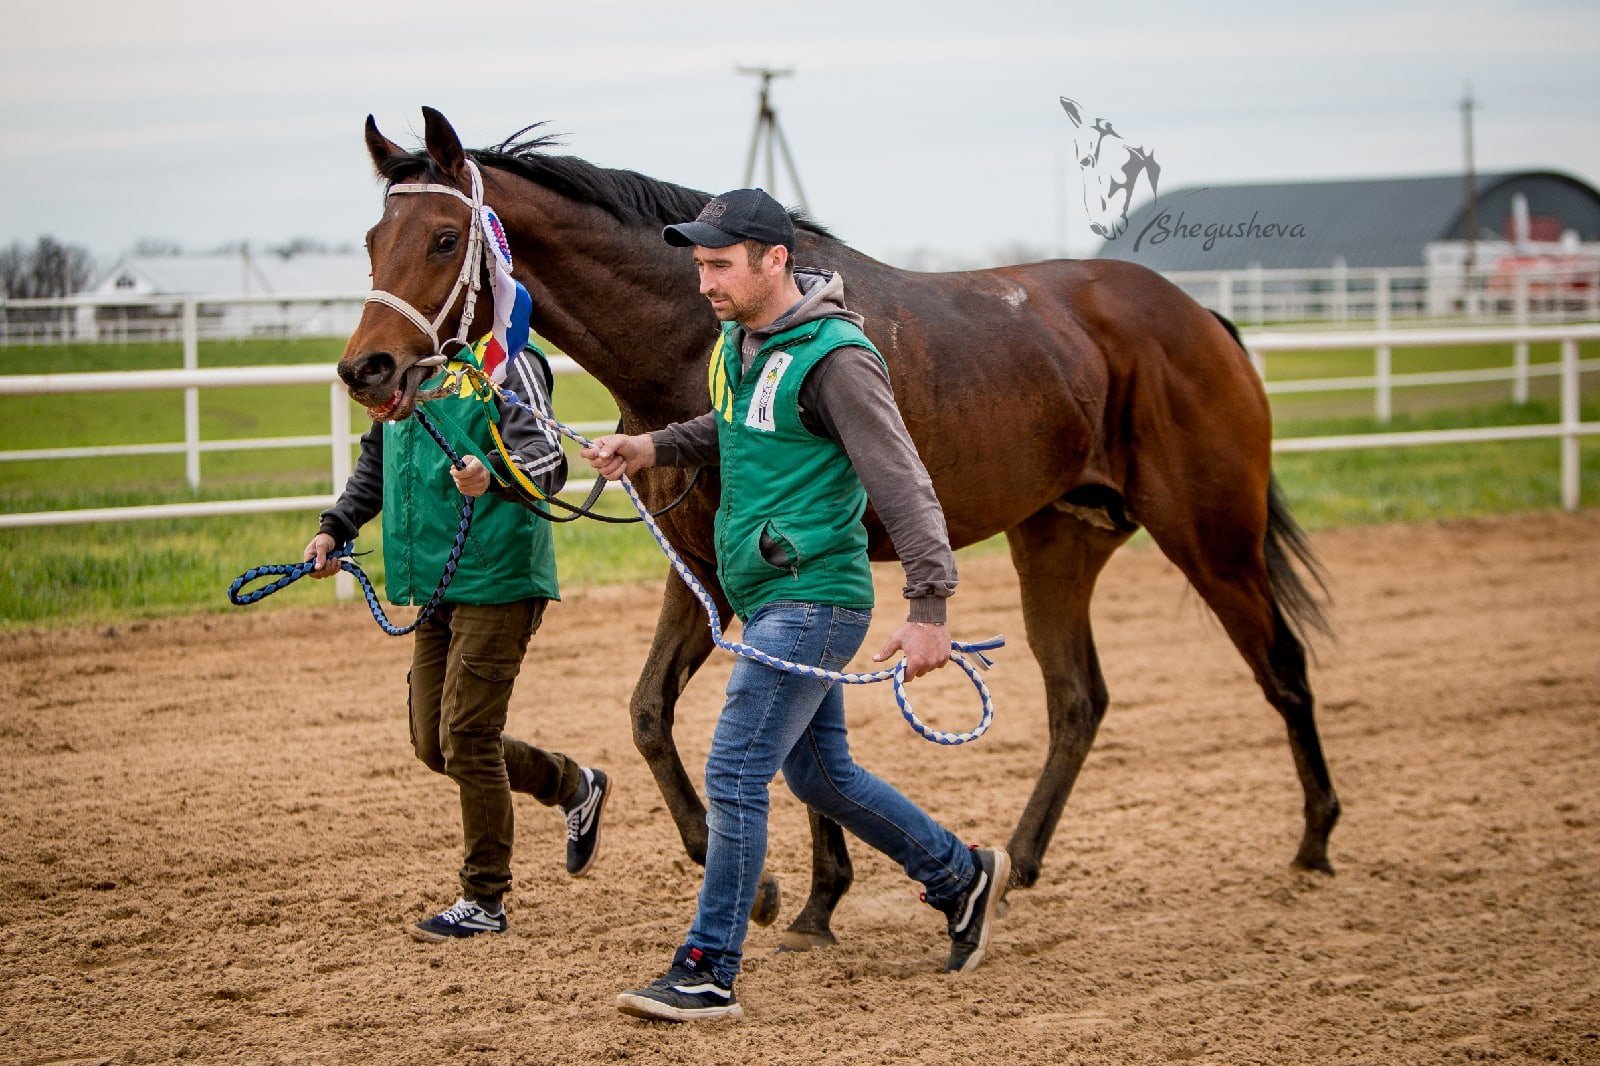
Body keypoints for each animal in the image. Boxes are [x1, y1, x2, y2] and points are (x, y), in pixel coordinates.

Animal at [337, 108, 1337, 947]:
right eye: (372, 240)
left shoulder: (773, 573)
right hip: (1058, 539)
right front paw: (794, 892)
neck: (700, 337)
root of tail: (1198, 316)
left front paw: (794, 894)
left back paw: (1315, 841)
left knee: (1282, 667)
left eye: (444, 237)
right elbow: (655, 712)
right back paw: (1016, 864)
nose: (365, 369)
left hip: (1211, 536)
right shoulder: (700, 562)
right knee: (1077, 700)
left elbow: (775, 732)